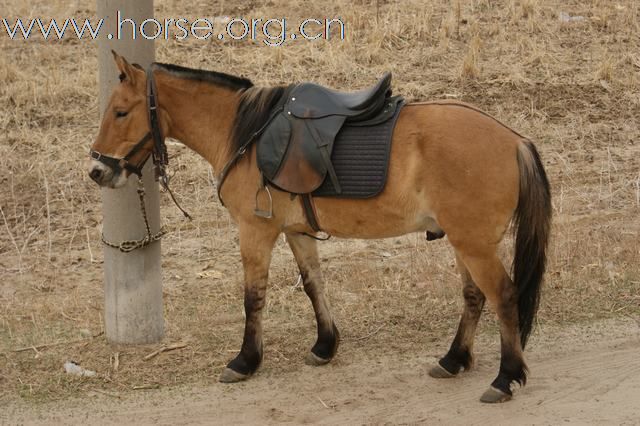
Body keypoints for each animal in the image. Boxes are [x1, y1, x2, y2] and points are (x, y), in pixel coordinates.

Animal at [89, 53, 552, 402]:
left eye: (121, 112)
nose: (97, 171)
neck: (247, 135)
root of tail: (514, 140)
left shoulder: (256, 232)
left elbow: (253, 298)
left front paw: (246, 360)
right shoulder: (296, 232)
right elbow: (314, 284)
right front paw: (325, 345)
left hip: (475, 245)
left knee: (504, 297)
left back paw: (505, 377)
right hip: (463, 242)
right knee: (474, 296)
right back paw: (454, 359)